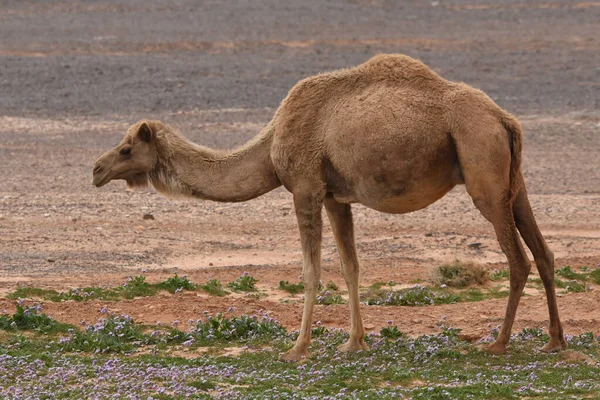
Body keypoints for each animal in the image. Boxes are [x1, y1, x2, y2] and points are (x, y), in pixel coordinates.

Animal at [91, 51, 564, 360]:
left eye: (128, 148)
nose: (96, 169)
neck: (270, 146)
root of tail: (504, 119)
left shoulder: (305, 188)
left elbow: (310, 270)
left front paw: (296, 348)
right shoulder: (337, 198)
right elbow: (350, 267)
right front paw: (354, 342)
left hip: (482, 172)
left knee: (517, 258)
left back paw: (498, 342)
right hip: (513, 182)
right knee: (543, 252)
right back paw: (555, 340)